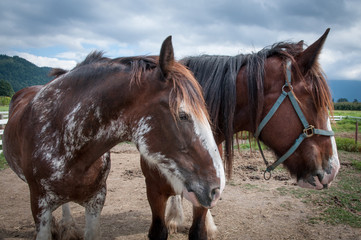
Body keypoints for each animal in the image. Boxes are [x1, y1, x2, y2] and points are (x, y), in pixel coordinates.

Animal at [139, 29, 338, 239]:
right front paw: (173, 219)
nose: (334, 169)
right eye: (314, 102)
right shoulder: (154, 192)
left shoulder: (207, 192)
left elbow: (199, 228)